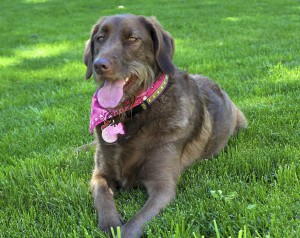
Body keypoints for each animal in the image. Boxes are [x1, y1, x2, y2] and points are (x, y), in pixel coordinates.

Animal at [83, 13, 247, 237]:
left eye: (133, 39)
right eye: (99, 39)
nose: (99, 65)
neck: (131, 114)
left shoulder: (162, 187)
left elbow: (134, 224)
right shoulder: (100, 174)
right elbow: (102, 195)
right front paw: (110, 224)